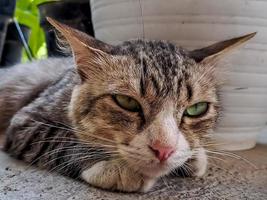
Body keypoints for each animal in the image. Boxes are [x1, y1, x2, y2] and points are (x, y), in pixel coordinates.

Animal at [0, 18, 255, 192]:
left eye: (196, 109)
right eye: (127, 102)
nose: (164, 149)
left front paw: (193, 157)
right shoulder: (26, 121)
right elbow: (59, 139)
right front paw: (113, 166)